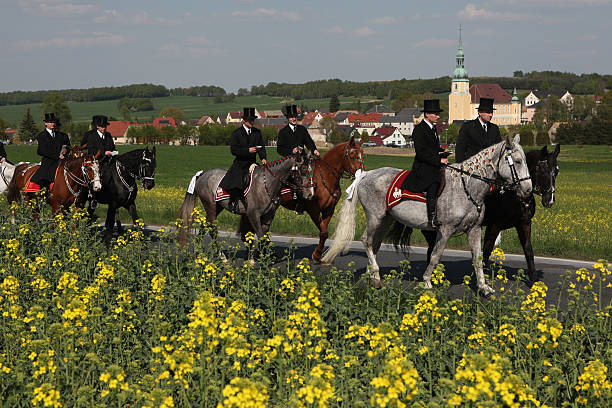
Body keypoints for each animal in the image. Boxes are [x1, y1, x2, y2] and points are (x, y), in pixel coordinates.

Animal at [176, 151, 310, 244]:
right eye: (303, 169)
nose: (309, 194)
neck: (266, 184)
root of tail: (203, 174)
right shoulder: (253, 215)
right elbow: (260, 237)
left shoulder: (268, 217)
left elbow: (264, 238)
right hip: (210, 206)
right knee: (212, 228)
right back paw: (221, 257)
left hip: (217, 207)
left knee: (205, 225)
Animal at [238, 134, 364, 262]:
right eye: (353, 156)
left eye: (362, 154)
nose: (362, 174)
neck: (325, 177)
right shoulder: (313, 209)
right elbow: (323, 232)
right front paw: (316, 254)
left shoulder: (329, 209)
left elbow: (324, 231)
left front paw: (318, 254)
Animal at [326, 135, 532, 294]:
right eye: (518, 161)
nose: (528, 190)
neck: (466, 188)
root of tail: (365, 175)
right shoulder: (446, 230)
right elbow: (435, 255)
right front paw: (427, 282)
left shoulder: (474, 229)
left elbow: (478, 258)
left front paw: (484, 288)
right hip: (375, 218)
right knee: (366, 241)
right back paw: (375, 275)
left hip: (385, 220)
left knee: (374, 244)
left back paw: (373, 276)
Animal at [480, 144, 560, 284]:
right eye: (543, 171)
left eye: (556, 171)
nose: (549, 200)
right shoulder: (494, 226)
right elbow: (486, 250)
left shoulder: (524, 223)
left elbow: (528, 250)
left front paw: (534, 280)